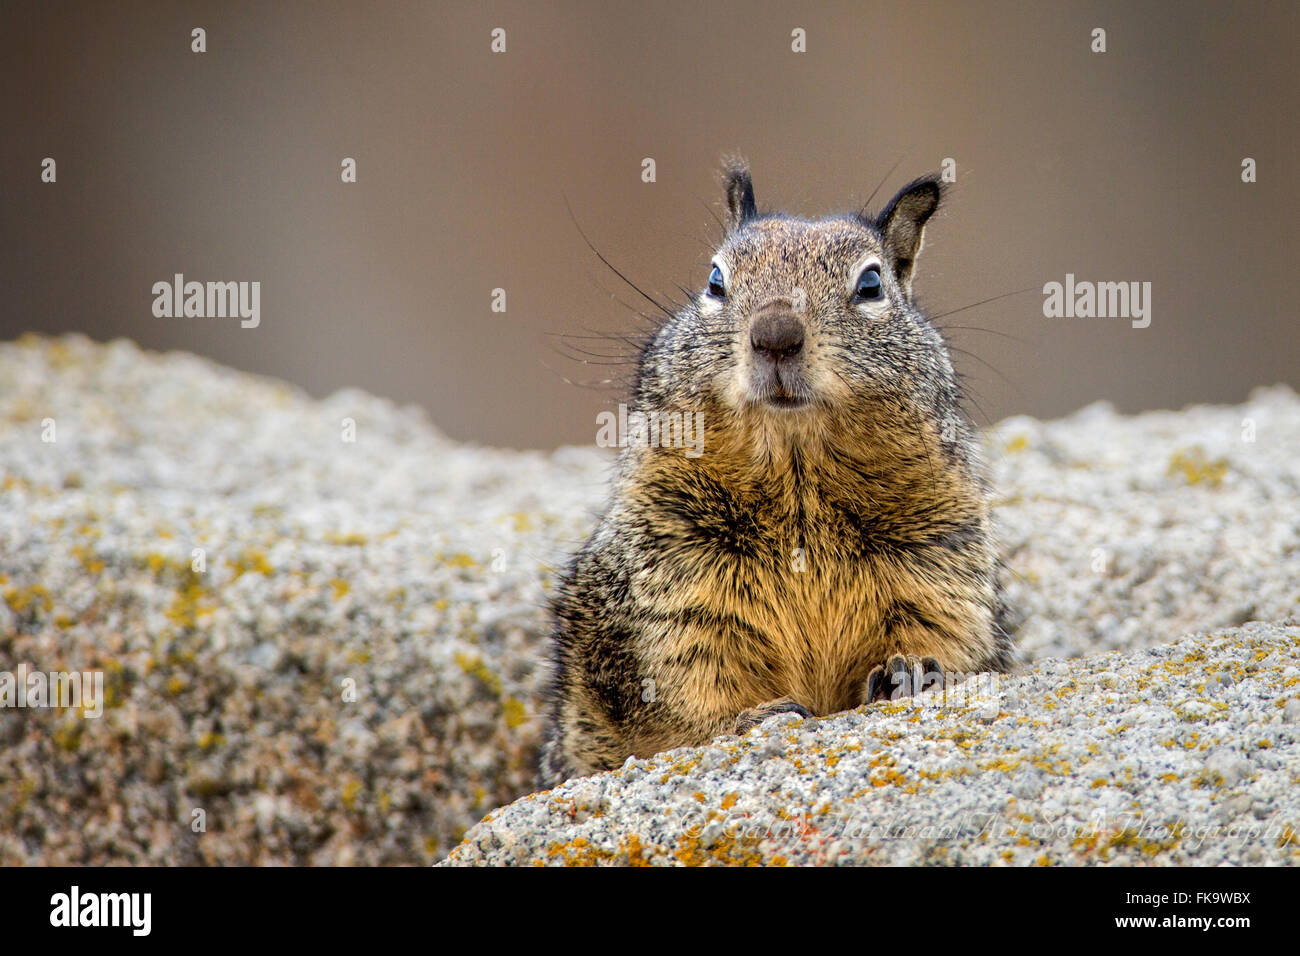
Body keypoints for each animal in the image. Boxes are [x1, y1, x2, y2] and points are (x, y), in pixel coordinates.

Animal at [538, 162, 1013, 785]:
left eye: (871, 284)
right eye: (715, 280)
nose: (776, 335)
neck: (798, 480)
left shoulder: (941, 560)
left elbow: (947, 635)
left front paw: (909, 669)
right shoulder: (671, 581)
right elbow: (689, 687)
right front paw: (753, 716)